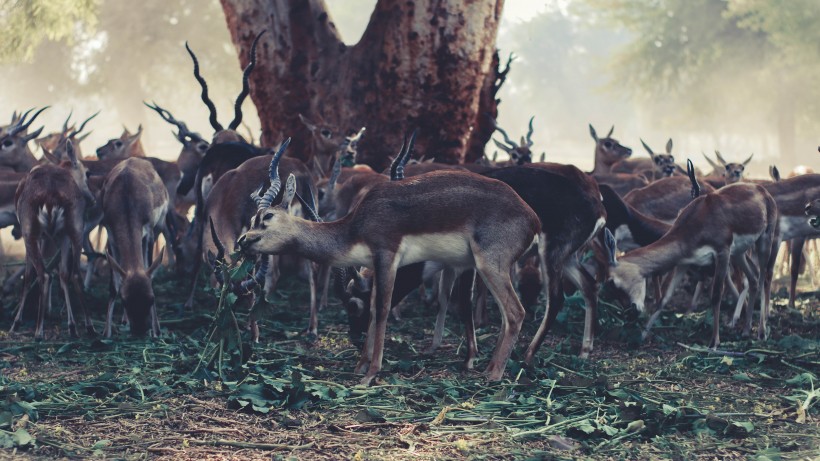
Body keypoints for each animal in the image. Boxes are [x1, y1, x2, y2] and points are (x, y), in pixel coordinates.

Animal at [10, 140, 95, 338]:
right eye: (87, 173)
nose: (93, 199)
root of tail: (51, 196)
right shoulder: (60, 236)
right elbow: (63, 274)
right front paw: (71, 325)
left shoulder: (37, 236)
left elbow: (27, 276)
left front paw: (16, 323)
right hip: (75, 228)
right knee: (74, 274)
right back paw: (88, 327)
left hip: (30, 231)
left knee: (44, 274)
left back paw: (38, 331)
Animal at [100, 156, 169, 336]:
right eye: (124, 300)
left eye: (151, 299)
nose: (140, 331)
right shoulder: (111, 236)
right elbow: (114, 284)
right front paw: (106, 332)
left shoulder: (149, 233)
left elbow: (149, 271)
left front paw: (157, 331)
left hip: (159, 228)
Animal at [237, 148, 544, 384]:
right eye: (251, 218)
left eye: (267, 217)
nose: (242, 241)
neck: (356, 226)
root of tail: (532, 218)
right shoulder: (376, 265)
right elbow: (374, 308)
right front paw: (360, 365)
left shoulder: (387, 258)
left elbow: (383, 310)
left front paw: (371, 373)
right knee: (505, 315)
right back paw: (487, 367)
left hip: (489, 265)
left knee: (515, 312)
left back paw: (493, 374)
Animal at [604, 178, 780, 346]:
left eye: (613, 282)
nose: (631, 312)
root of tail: (762, 190)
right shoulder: (684, 262)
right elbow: (664, 299)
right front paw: (642, 336)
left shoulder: (722, 252)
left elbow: (716, 295)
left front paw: (714, 342)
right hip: (739, 253)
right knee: (753, 278)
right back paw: (746, 330)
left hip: (764, 240)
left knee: (765, 277)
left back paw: (761, 332)